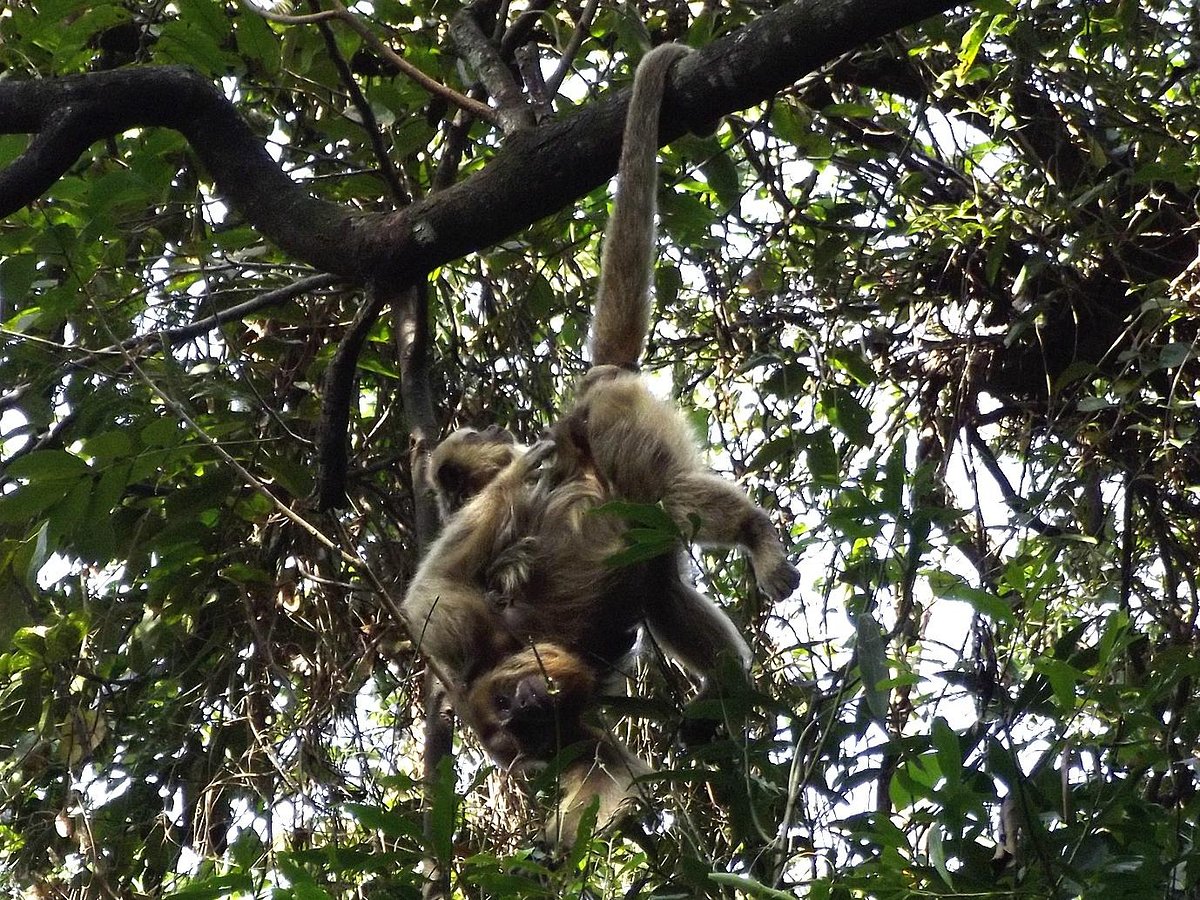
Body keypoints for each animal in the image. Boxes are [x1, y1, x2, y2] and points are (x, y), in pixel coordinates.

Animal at [403, 42, 796, 844]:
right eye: (518, 726)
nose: (524, 711)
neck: (516, 653)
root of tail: (597, 385)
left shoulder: (469, 637)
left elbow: (434, 593)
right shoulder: (570, 718)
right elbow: (607, 769)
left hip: (618, 419)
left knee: (660, 498)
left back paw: (754, 536)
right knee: (657, 579)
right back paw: (728, 688)